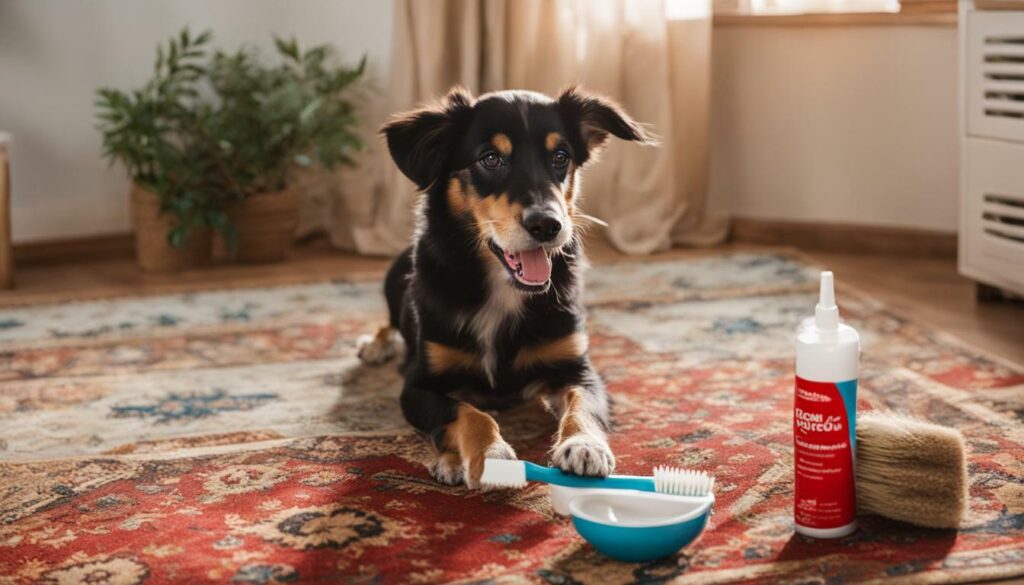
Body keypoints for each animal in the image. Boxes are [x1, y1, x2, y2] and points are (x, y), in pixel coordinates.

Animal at [360, 86, 647, 489]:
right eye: (491, 159)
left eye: (561, 157)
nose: (548, 225)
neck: (505, 288)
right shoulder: (418, 384)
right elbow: (467, 411)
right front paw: (490, 454)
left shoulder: (577, 369)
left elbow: (583, 405)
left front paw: (584, 445)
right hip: (393, 280)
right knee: (388, 322)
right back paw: (375, 346)